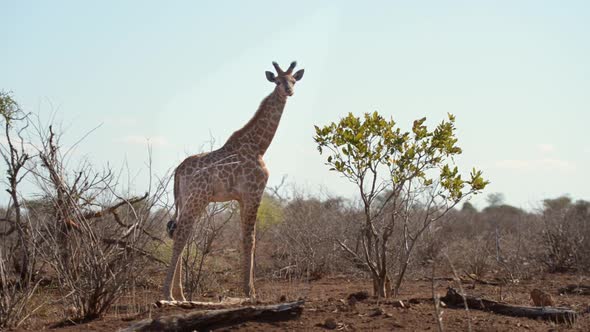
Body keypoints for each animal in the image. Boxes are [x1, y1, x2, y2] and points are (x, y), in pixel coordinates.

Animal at [164, 60, 308, 300]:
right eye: (278, 81)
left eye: (293, 80)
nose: (289, 91)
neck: (259, 146)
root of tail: (178, 171)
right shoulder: (254, 192)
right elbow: (251, 239)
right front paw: (250, 292)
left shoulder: (241, 198)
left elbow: (245, 238)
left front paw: (248, 288)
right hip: (198, 198)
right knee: (182, 234)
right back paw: (168, 294)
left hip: (185, 200)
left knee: (180, 234)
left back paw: (180, 295)